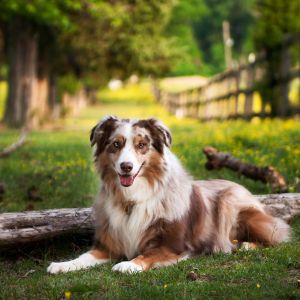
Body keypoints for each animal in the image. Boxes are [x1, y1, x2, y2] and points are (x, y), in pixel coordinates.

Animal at [47, 116, 290, 274]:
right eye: (116, 144)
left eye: (141, 145)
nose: (126, 167)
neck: (132, 199)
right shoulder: (109, 245)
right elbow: (83, 257)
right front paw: (63, 265)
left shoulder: (173, 246)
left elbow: (147, 255)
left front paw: (129, 264)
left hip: (233, 205)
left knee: (278, 237)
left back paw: (246, 245)